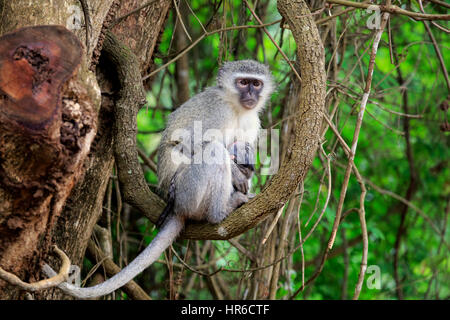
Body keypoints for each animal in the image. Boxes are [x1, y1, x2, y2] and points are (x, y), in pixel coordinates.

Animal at [44, 59, 274, 298]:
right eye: (243, 82)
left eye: (256, 83)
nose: (251, 94)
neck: (236, 108)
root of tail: (179, 209)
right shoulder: (217, 110)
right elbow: (186, 144)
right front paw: (236, 173)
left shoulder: (251, 121)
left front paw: (245, 171)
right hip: (189, 194)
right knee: (214, 152)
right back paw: (219, 212)